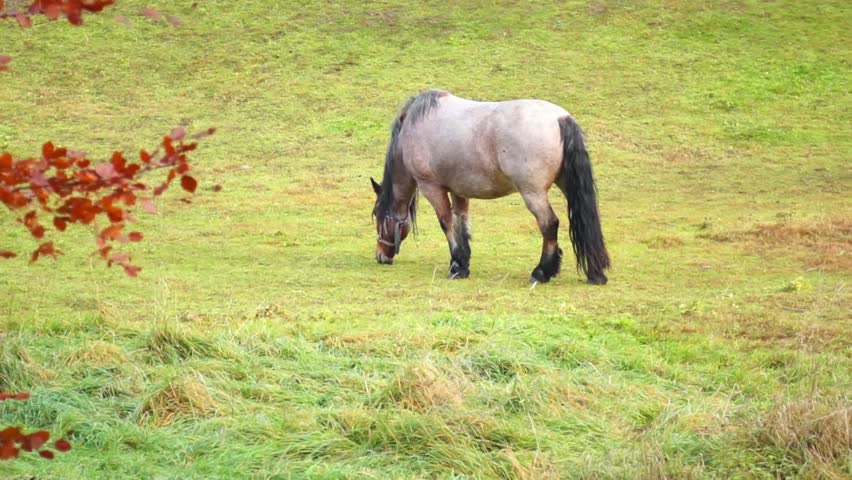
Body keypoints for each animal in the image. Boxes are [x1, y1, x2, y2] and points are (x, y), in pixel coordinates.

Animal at [370, 89, 610, 285]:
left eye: (379, 217)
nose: (380, 256)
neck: (413, 126)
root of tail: (561, 118)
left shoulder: (432, 187)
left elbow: (447, 223)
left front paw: (456, 265)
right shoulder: (459, 190)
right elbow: (462, 223)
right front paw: (463, 263)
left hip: (533, 193)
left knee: (549, 224)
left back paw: (541, 272)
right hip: (568, 186)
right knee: (585, 220)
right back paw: (595, 272)